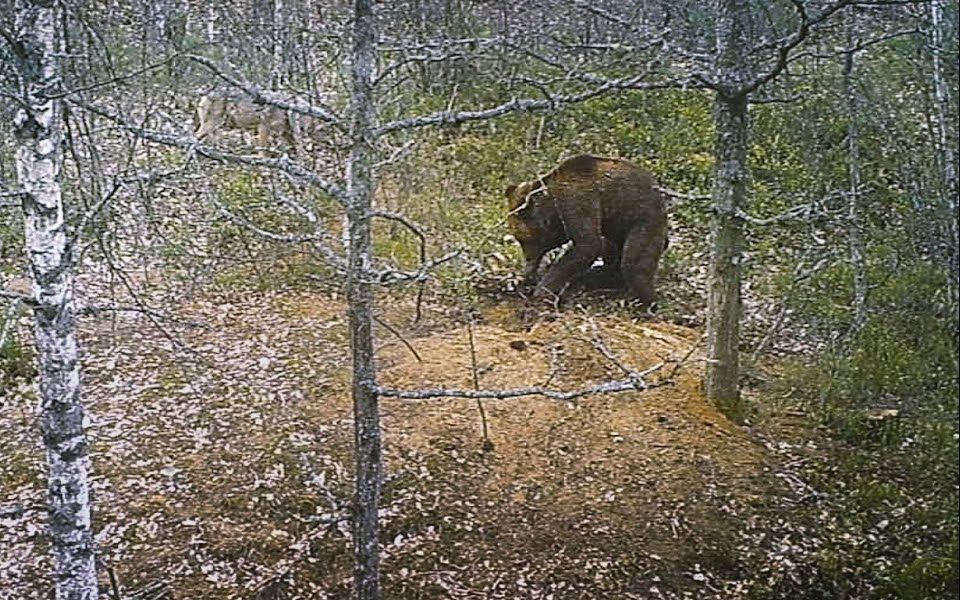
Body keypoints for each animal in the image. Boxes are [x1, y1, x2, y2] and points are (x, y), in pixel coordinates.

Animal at [502, 155, 668, 304]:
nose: (528, 266)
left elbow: (588, 245)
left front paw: (543, 290)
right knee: (613, 253)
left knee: (634, 263)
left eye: (523, 240)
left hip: (645, 219)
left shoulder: (578, 199)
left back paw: (646, 301)